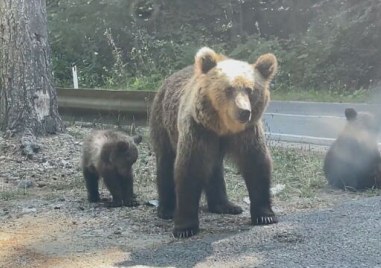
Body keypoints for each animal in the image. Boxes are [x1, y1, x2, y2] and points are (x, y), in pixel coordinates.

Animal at [150, 47, 278, 238]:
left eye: (250, 90)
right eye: (229, 89)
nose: (244, 112)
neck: (223, 128)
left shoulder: (247, 134)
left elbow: (256, 164)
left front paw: (265, 215)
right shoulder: (198, 130)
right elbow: (189, 169)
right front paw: (184, 227)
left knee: (214, 168)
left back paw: (225, 205)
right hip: (163, 123)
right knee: (165, 162)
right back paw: (166, 209)